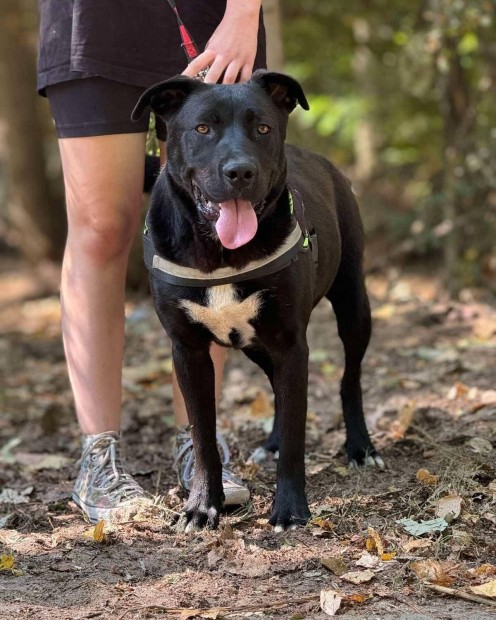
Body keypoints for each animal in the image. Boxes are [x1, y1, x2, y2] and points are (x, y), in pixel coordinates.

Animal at [131, 70, 380, 532]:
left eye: (263, 128)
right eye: (203, 128)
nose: (240, 171)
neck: (220, 253)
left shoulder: (291, 343)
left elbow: (299, 430)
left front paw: (290, 509)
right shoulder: (188, 351)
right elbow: (203, 436)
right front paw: (202, 506)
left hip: (353, 302)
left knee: (349, 377)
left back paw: (361, 447)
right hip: (257, 345)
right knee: (280, 390)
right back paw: (273, 443)